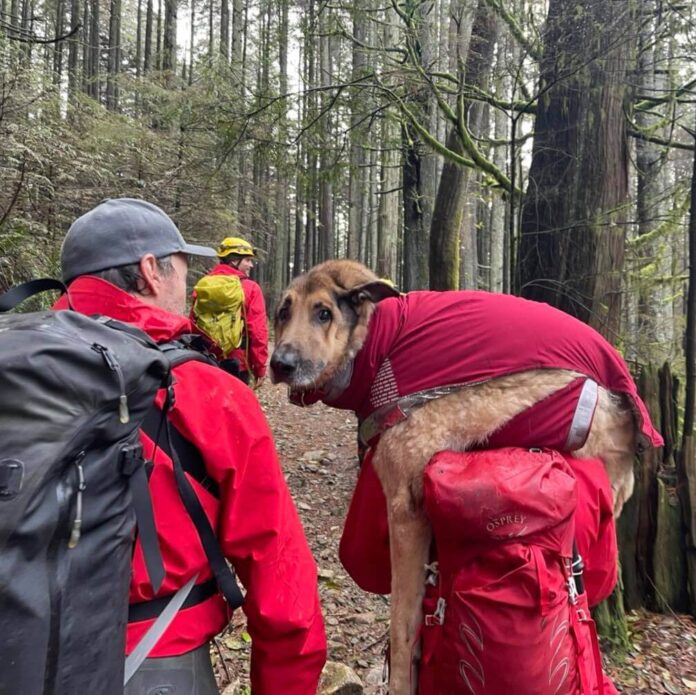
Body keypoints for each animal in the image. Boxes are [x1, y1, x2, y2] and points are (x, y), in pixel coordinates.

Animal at [270, 260, 656, 695]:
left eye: (324, 313)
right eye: (283, 312)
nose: (280, 364)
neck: (379, 343)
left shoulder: (404, 511)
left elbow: (401, 630)